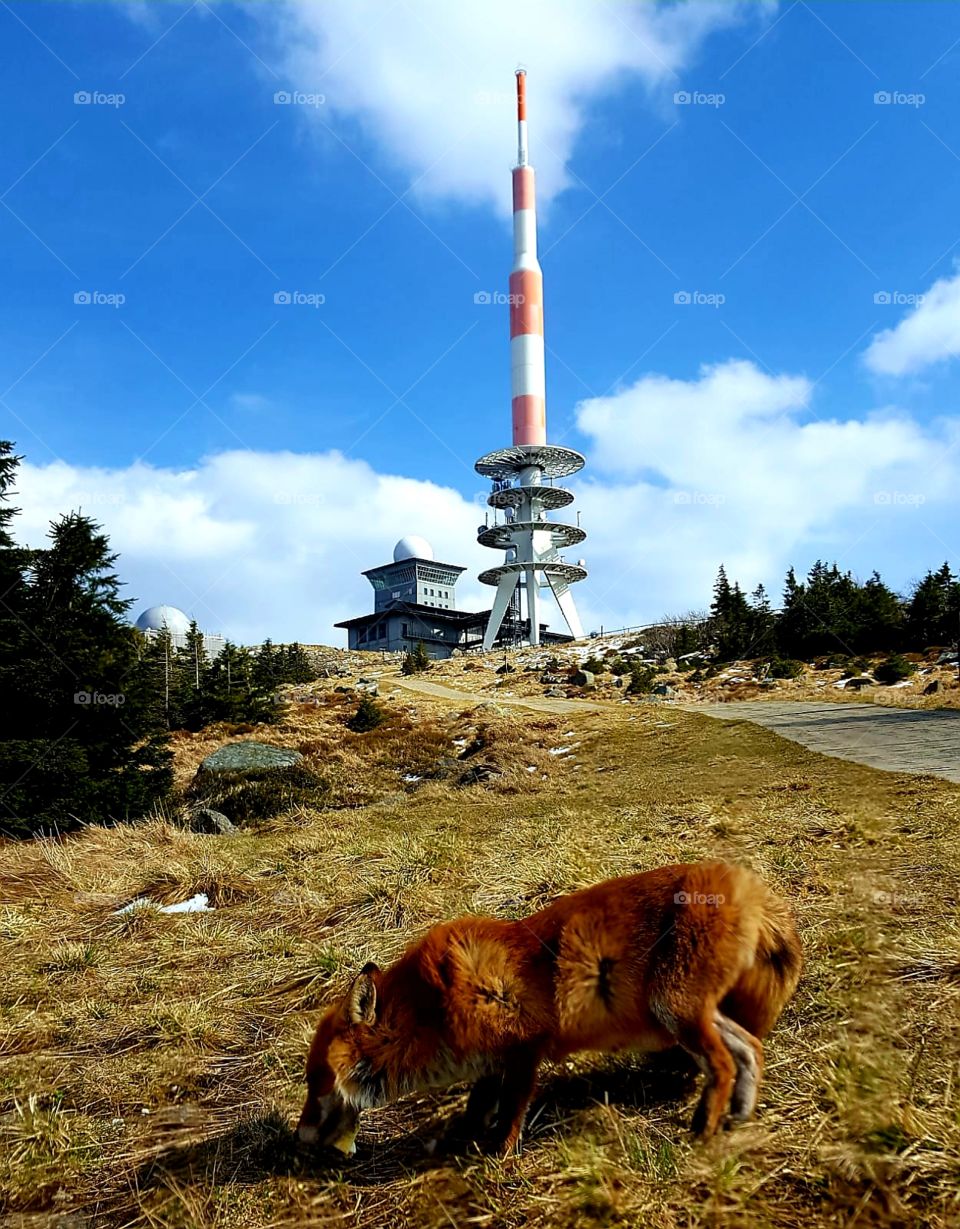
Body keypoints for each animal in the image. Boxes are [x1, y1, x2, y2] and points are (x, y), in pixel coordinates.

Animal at [298, 860, 801, 1157]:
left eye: (315, 1080)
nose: (299, 1138)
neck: (433, 1005)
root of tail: (747, 883)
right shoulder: (489, 1061)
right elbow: (476, 1107)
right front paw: (459, 1139)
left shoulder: (524, 1048)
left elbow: (510, 1111)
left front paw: (498, 1156)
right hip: (691, 1014)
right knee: (751, 1049)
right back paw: (740, 1114)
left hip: (674, 1011)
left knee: (723, 1064)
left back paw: (704, 1129)